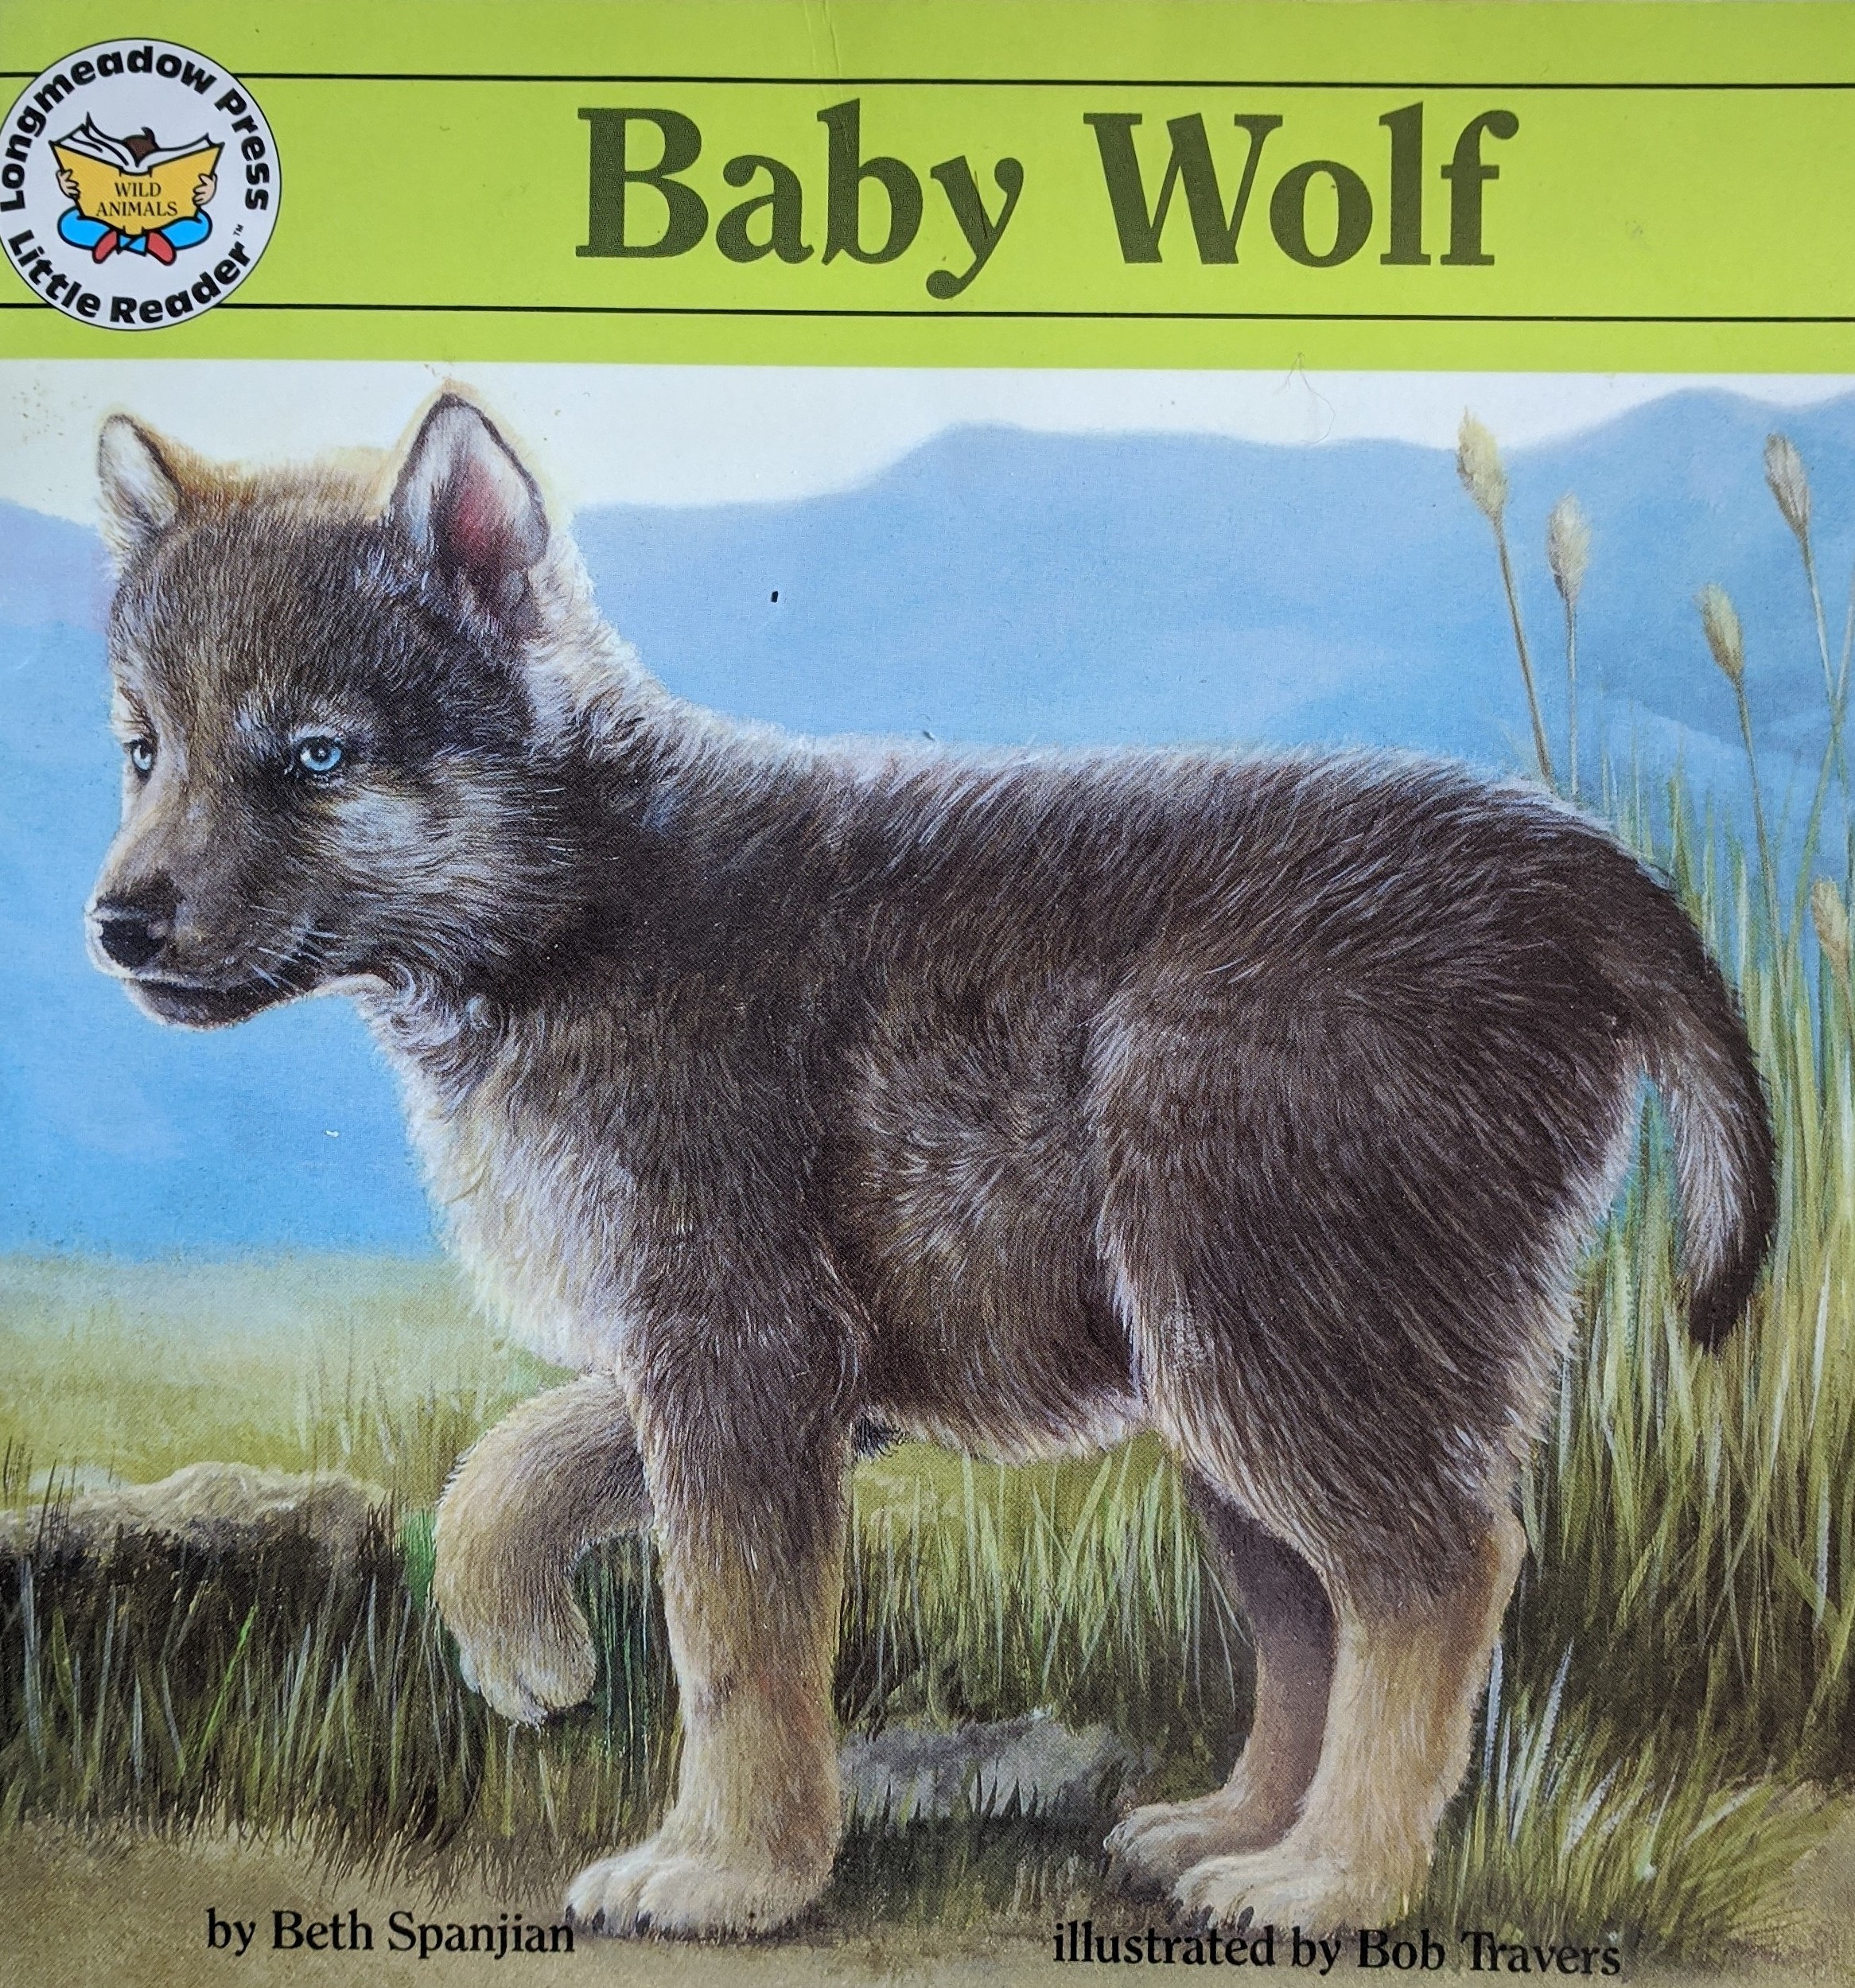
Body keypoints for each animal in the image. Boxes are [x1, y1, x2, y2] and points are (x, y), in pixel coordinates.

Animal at [85, 394, 1775, 1940]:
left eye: (314, 756)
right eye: (143, 750)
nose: (115, 923)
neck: (582, 897)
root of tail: (1572, 869)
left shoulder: (741, 1347)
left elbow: (737, 1648)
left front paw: (728, 1871)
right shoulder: (763, 1357)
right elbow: (519, 1462)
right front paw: (525, 1641)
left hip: (1275, 1343)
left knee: (1438, 1573)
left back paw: (1332, 1880)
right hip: (1231, 1385)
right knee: (1313, 1614)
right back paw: (1230, 1828)